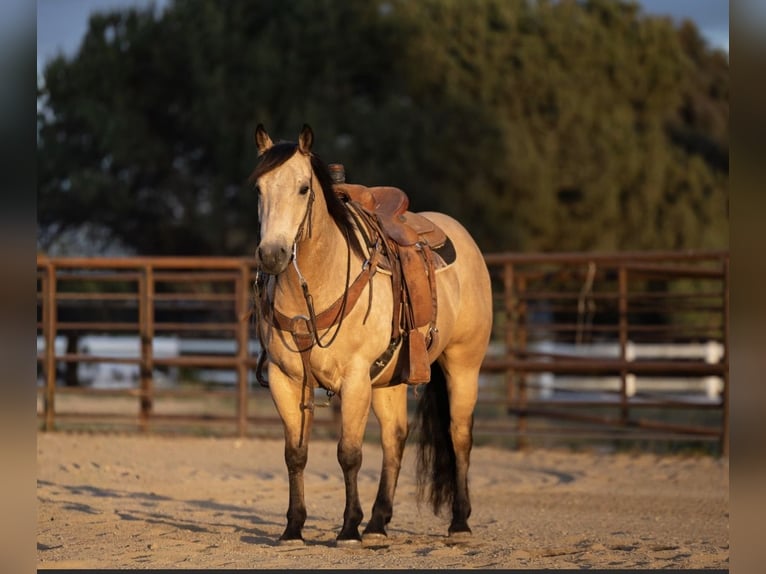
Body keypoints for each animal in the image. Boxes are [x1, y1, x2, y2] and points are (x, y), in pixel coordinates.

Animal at [250, 124, 492, 546]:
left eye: (303, 188)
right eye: (260, 189)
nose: (272, 255)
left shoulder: (355, 379)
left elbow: (349, 453)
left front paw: (348, 529)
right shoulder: (286, 378)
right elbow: (295, 454)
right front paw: (293, 529)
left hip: (464, 365)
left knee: (459, 436)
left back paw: (459, 523)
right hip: (390, 379)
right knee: (395, 439)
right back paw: (379, 524)